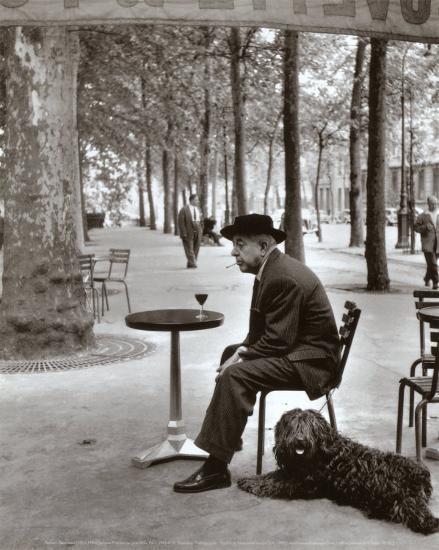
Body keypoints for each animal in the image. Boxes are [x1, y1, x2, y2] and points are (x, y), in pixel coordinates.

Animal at [239, 410, 439, 536]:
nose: (300, 440)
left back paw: (428, 523)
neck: (323, 453)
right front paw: (250, 478)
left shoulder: (304, 483)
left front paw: (250, 483)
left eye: (309, 426)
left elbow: (274, 482)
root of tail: (421, 472)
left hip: (401, 495)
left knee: (415, 512)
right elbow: (271, 475)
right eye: (294, 426)